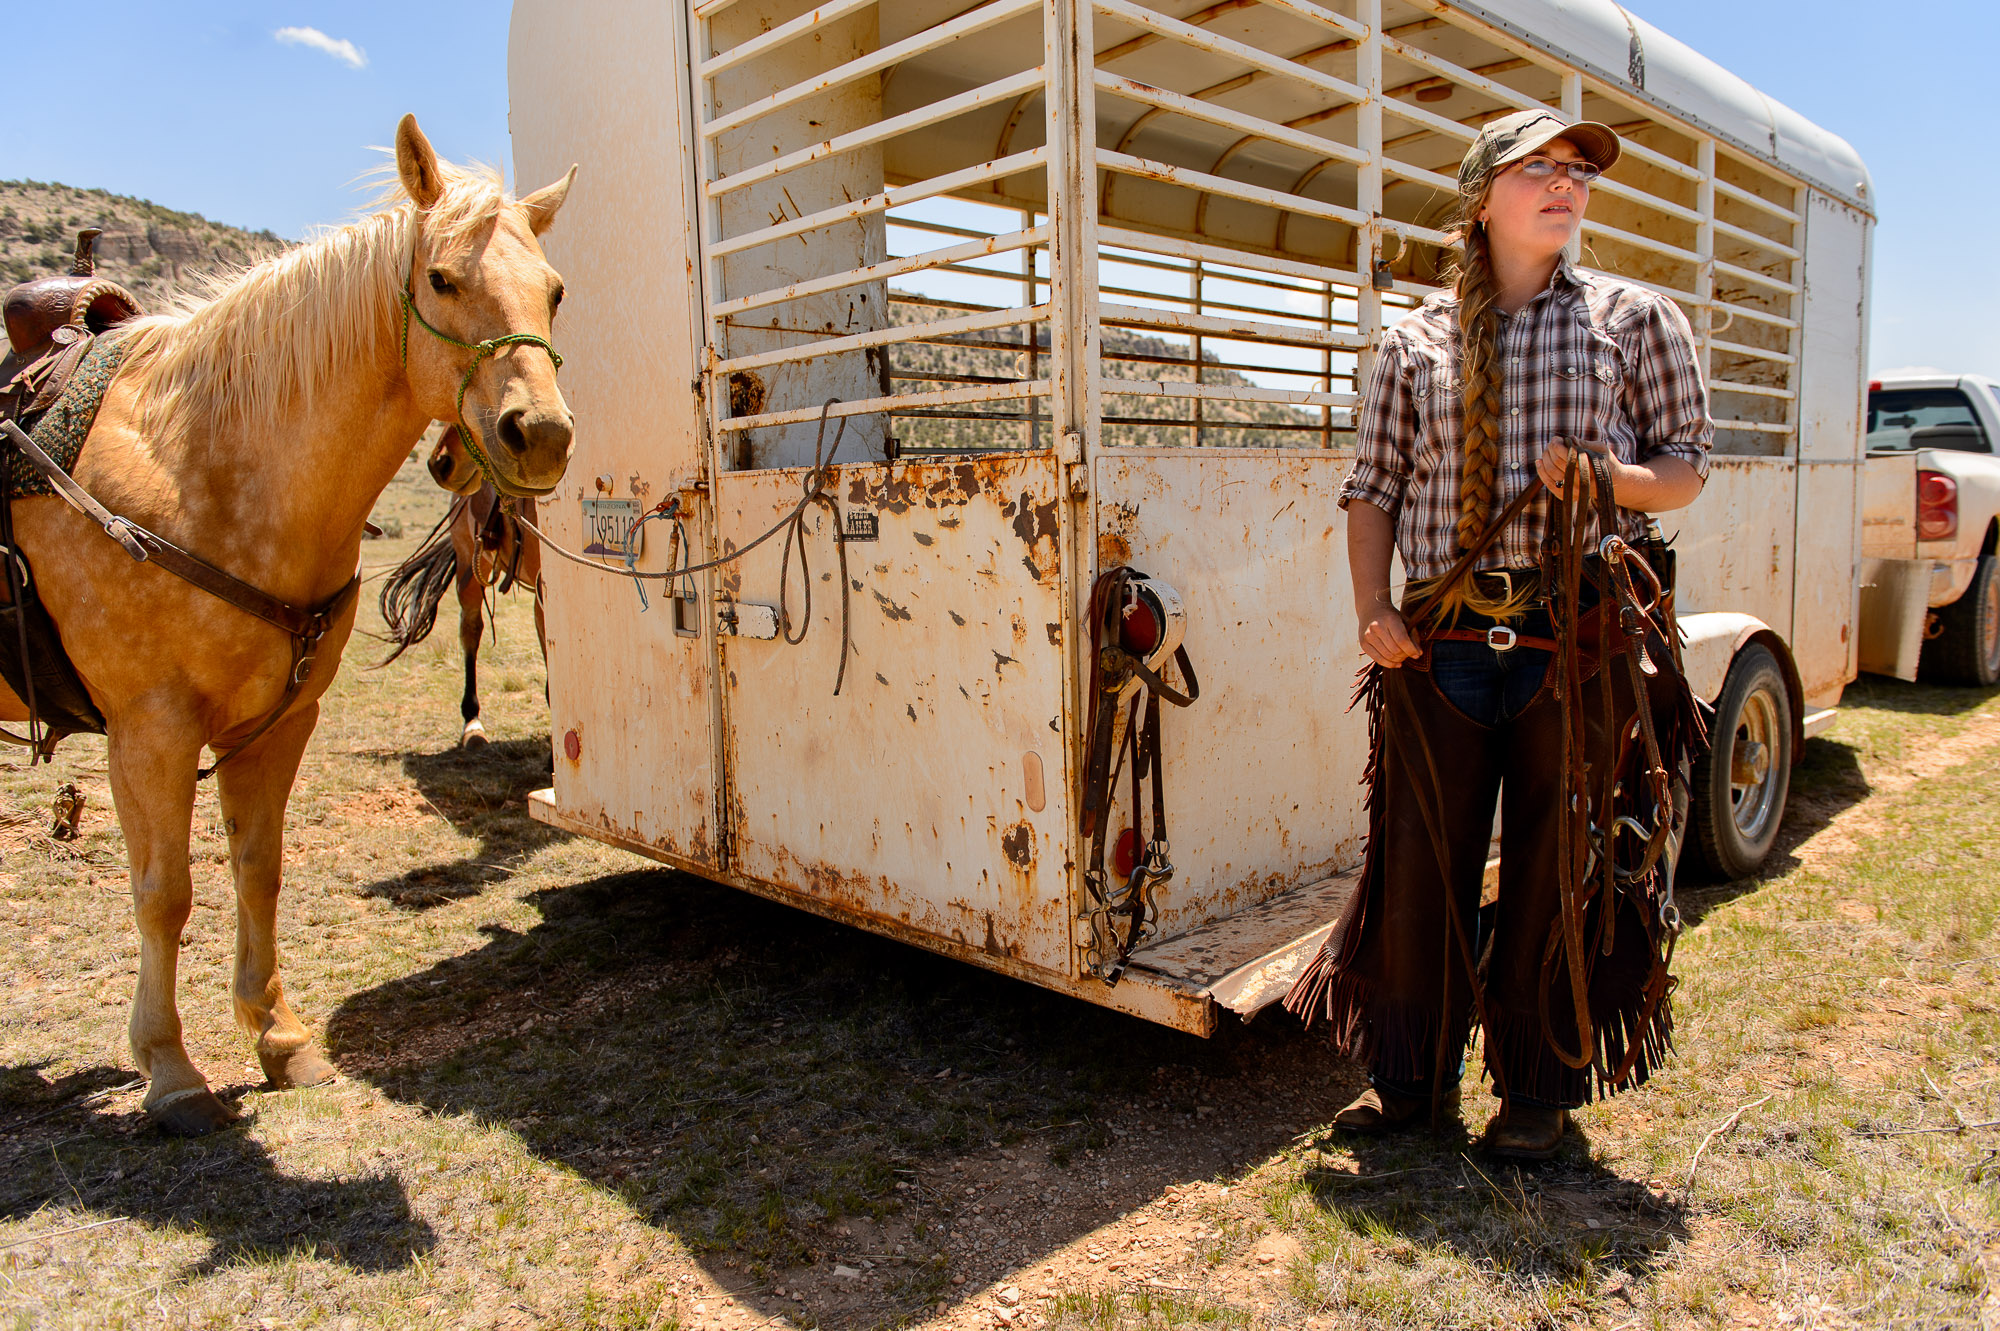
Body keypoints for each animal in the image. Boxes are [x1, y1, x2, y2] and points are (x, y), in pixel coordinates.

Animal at [11, 113, 580, 1127]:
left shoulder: (281, 720)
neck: (208, 457)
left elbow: (259, 868)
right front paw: (171, 1069)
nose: (540, 435)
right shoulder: (149, 729)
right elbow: (164, 891)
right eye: (442, 278)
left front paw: (277, 1037)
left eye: (553, 289)